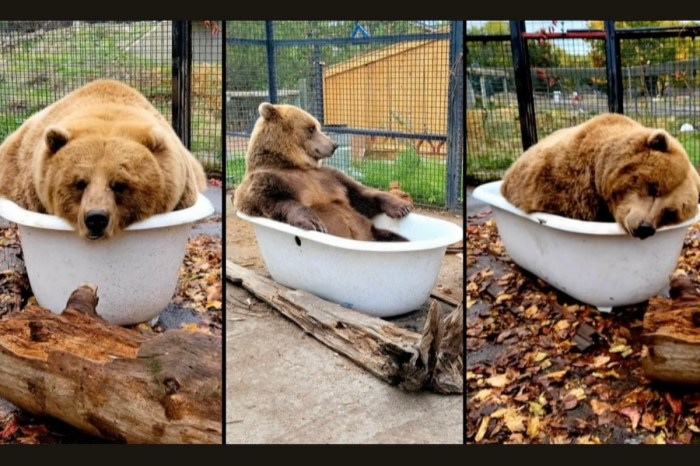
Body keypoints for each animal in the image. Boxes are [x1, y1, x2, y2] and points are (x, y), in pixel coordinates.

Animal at [234, 103, 412, 241]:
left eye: (318, 126)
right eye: (311, 128)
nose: (334, 144)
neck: (291, 163)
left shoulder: (329, 176)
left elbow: (359, 194)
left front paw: (401, 206)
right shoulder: (267, 180)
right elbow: (276, 201)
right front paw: (314, 223)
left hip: (373, 232)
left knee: (396, 238)